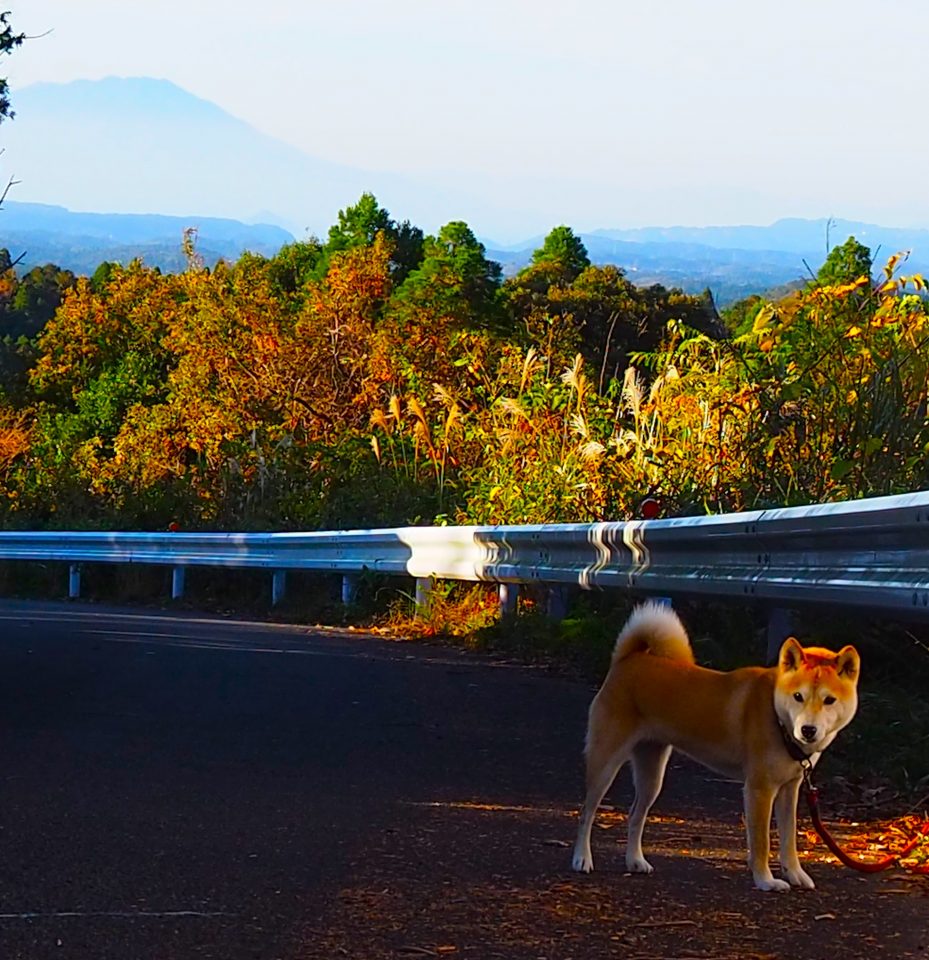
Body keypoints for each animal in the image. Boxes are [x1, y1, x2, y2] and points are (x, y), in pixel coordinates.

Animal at [568, 600, 860, 892]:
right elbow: (762, 843)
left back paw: (635, 861)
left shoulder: (790, 790)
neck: (777, 717)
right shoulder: (759, 789)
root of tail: (629, 659)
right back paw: (582, 859)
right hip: (605, 764)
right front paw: (765, 880)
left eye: (829, 700)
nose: (808, 730)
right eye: (798, 696)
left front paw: (796, 874)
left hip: (652, 774)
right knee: (586, 812)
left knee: (635, 815)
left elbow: (789, 841)